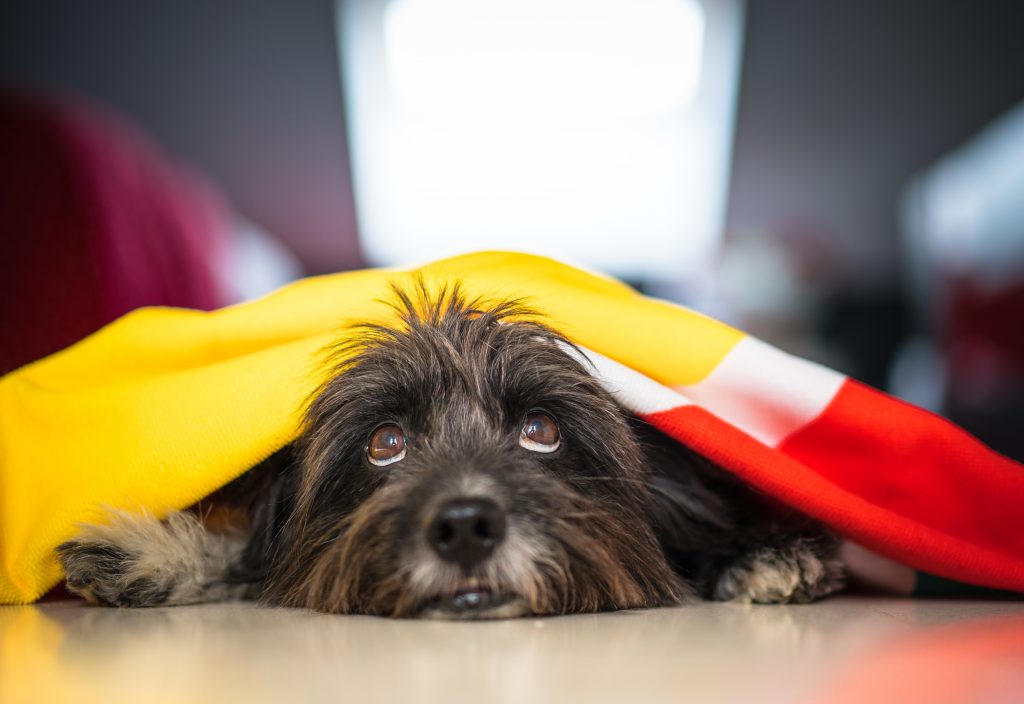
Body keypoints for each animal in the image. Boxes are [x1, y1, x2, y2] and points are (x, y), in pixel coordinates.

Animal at [58, 282, 839, 618]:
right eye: (386, 442)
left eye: (542, 429)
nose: (465, 526)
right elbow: (253, 559)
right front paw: (157, 555)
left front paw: (769, 555)